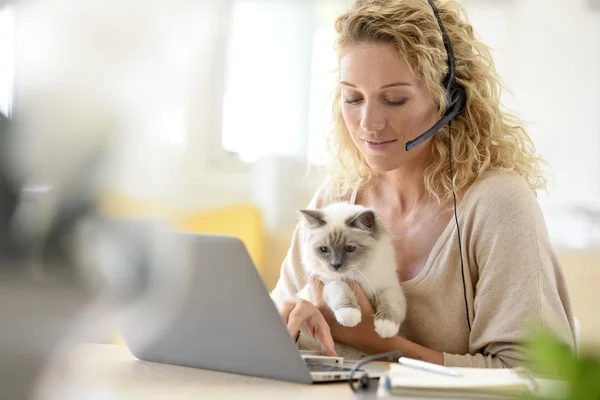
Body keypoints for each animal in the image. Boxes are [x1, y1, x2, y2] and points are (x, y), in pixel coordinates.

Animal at [296, 203, 406, 356]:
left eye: (349, 248)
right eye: (324, 249)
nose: (335, 265)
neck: (356, 274)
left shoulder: (388, 288)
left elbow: (390, 304)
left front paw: (386, 327)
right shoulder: (330, 282)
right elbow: (342, 290)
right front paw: (349, 316)